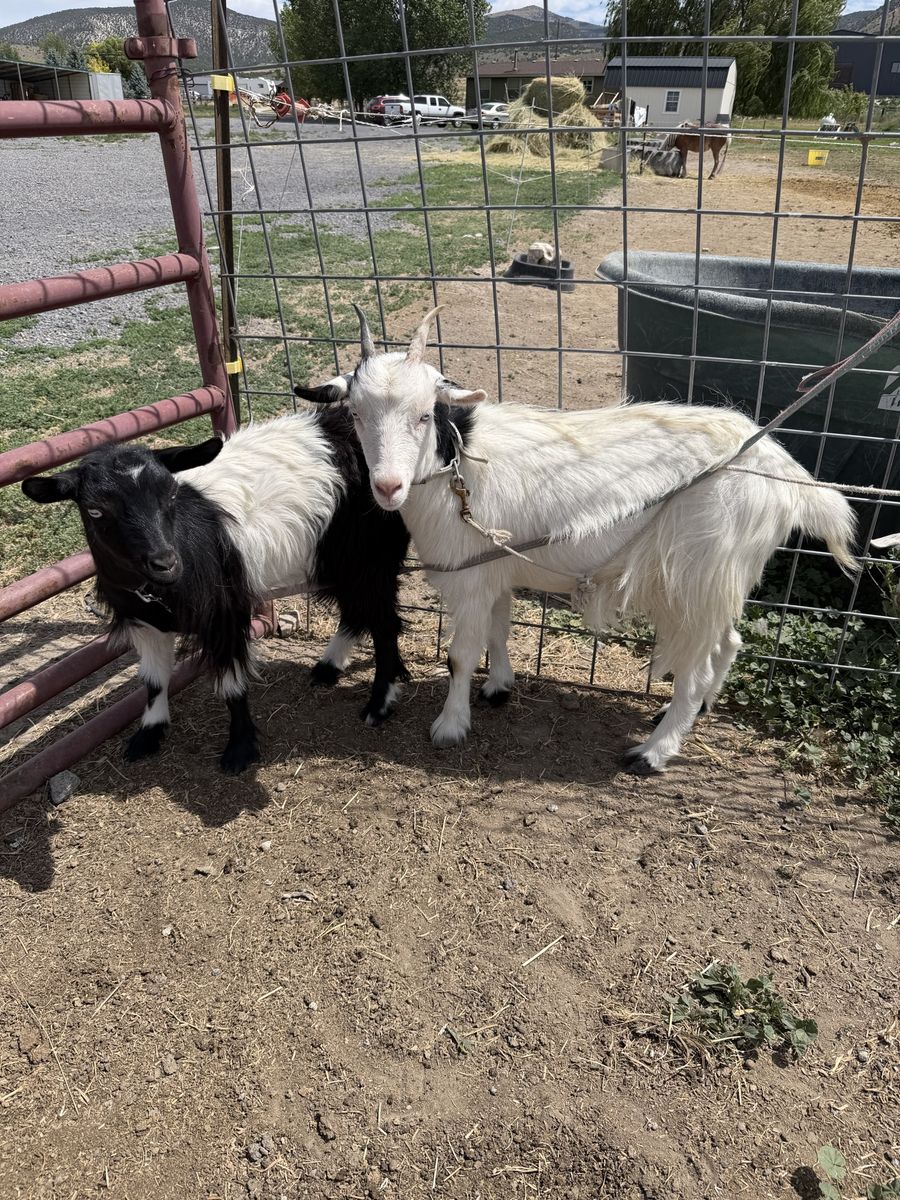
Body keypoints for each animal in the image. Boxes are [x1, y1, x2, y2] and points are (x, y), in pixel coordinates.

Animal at [22, 408, 410, 774]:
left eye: (172, 493)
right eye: (95, 510)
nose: (166, 562)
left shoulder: (224, 614)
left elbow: (232, 685)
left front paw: (239, 751)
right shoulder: (143, 621)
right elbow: (152, 680)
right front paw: (149, 734)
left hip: (371, 555)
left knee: (384, 624)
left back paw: (380, 702)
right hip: (342, 558)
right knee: (359, 611)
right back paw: (330, 668)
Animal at [297, 305, 858, 774]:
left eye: (422, 414)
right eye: (356, 413)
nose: (387, 486)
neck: (456, 471)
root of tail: (779, 468)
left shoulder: (472, 579)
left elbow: (461, 654)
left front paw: (450, 726)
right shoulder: (494, 567)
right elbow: (499, 632)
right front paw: (498, 688)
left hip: (699, 572)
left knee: (698, 664)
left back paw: (654, 752)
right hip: (719, 578)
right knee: (728, 643)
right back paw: (692, 713)